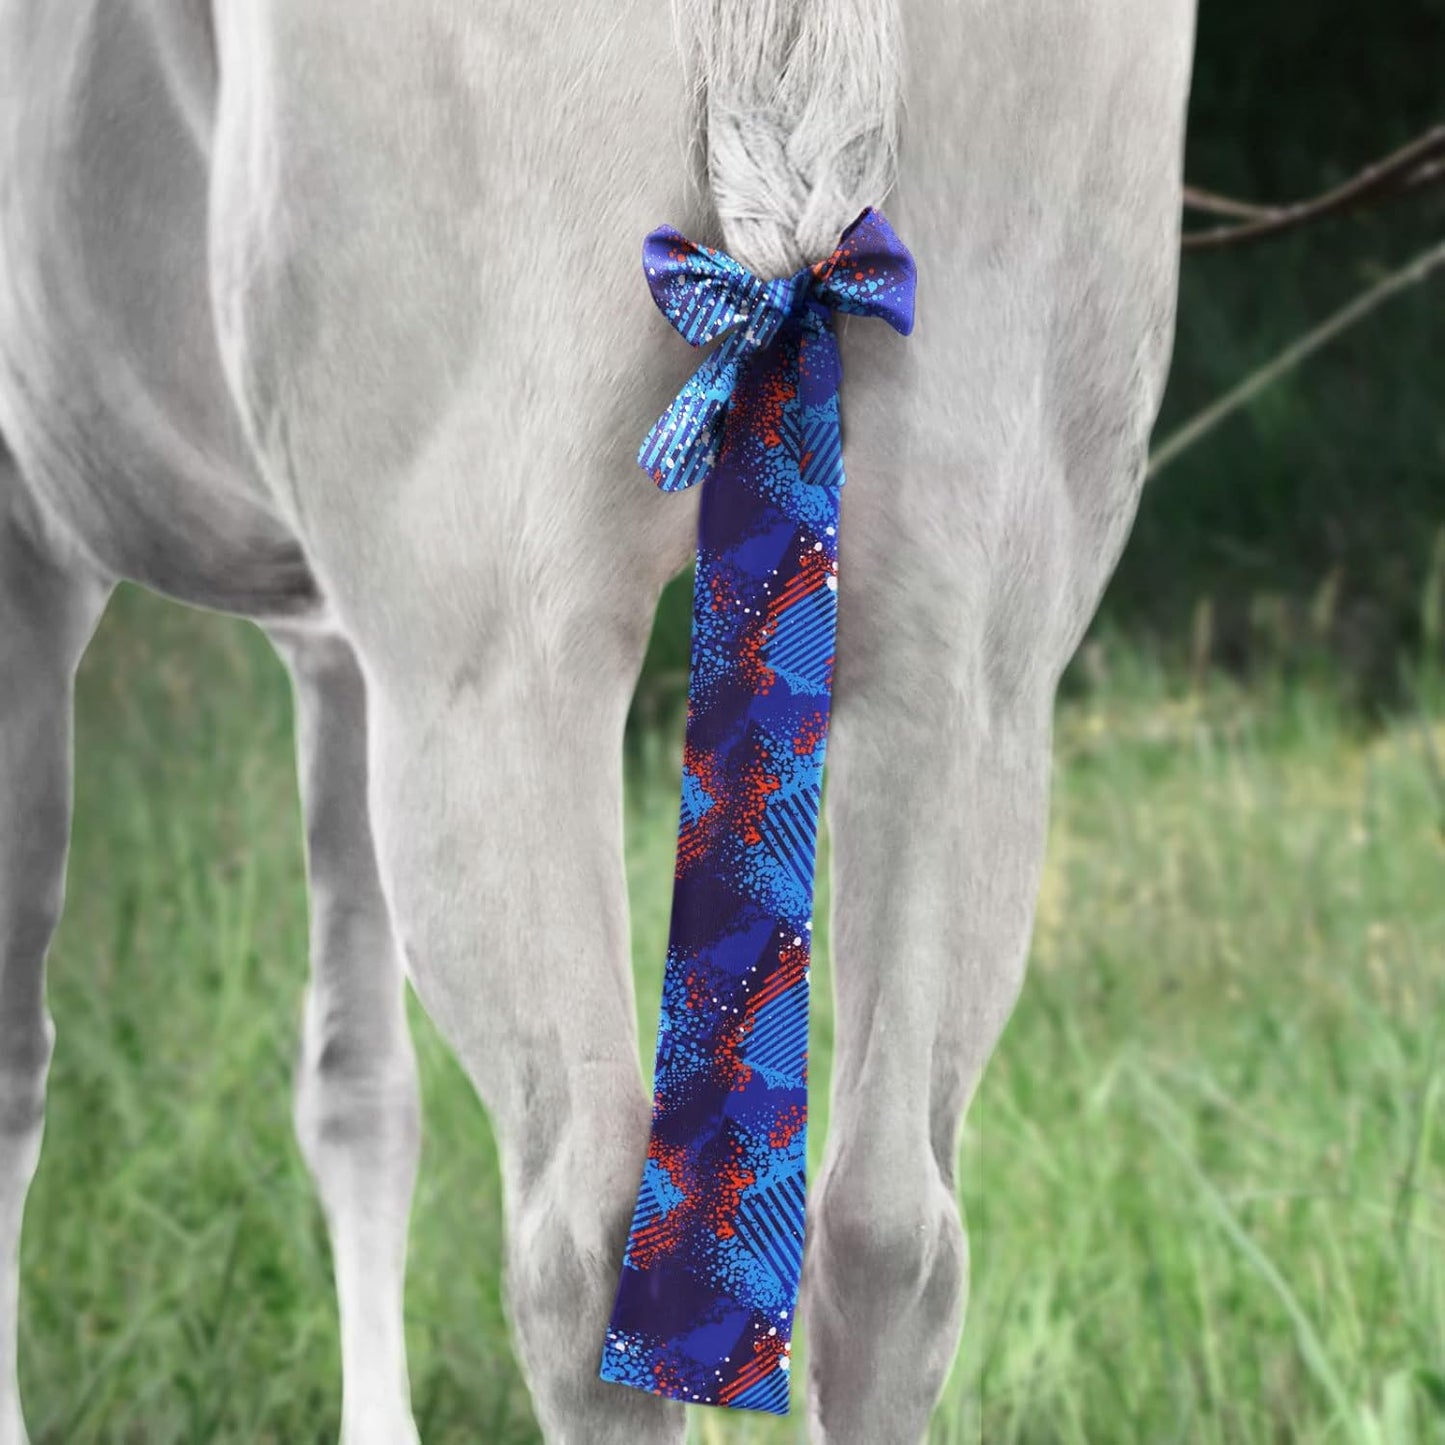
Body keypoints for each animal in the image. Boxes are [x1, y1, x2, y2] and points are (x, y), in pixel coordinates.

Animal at [0, 2, 1197, 1440]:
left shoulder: (36, 560)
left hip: (496, 670)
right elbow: (358, 1086)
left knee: (588, 1235)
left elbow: (15, 1070)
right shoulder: (335, 648)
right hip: (968, 662)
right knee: (889, 1233)